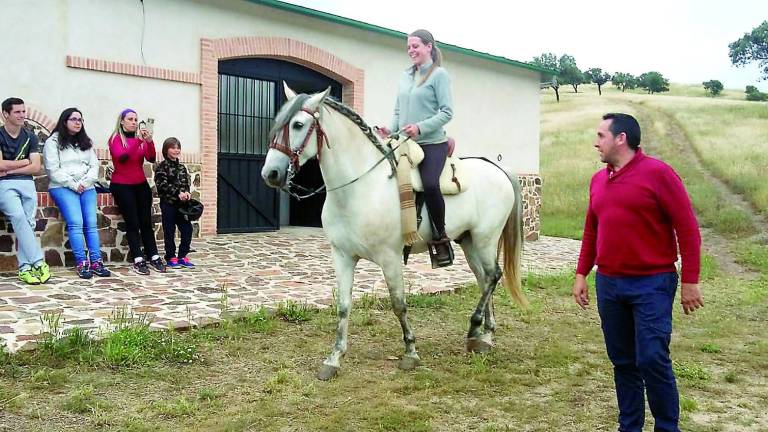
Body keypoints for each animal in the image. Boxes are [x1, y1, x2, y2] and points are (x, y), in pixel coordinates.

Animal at [260, 85, 524, 382]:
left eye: (298, 124)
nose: (271, 173)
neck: (361, 187)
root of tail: (499, 169)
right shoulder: (342, 256)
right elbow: (343, 305)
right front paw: (334, 358)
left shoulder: (390, 258)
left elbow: (399, 303)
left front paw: (410, 352)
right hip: (469, 242)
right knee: (484, 280)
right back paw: (484, 335)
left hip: (485, 239)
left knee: (493, 276)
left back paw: (475, 329)